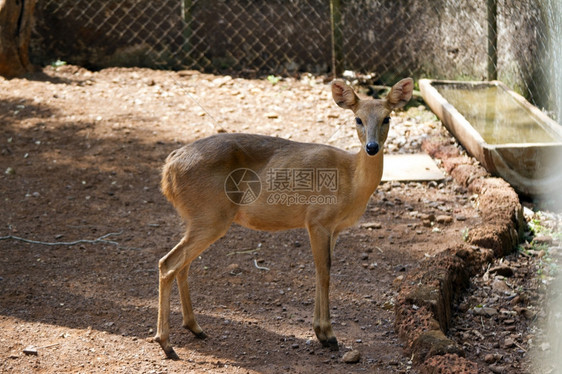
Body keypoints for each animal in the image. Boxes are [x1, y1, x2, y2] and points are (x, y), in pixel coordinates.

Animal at [152, 76, 412, 360]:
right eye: (358, 119)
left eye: (387, 118)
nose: (372, 147)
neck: (351, 180)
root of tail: (169, 168)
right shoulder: (317, 220)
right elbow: (324, 271)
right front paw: (328, 335)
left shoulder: (334, 228)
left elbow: (322, 270)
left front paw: (321, 333)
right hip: (210, 215)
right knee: (168, 263)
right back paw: (166, 342)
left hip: (197, 218)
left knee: (182, 265)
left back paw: (195, 328)